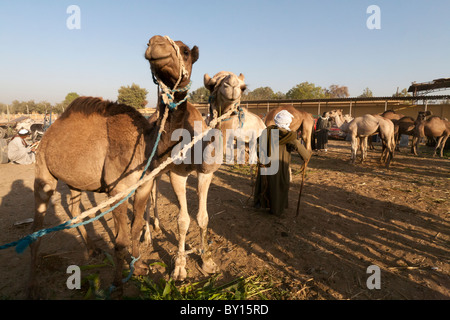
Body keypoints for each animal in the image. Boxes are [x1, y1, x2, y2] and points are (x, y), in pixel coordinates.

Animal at [30, 35, 200, 298]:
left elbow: (136, 227)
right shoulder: (117, 191)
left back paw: (91, 250)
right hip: (43, 171)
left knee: (75, 208)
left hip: (75, 179)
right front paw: (117, 285)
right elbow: (120, 240)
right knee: (36, 228)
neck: (148, 144)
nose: (156, 43)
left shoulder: (143, 186)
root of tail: (49, 131)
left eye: (185, 51)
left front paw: (139, 267)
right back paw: (32, 287)